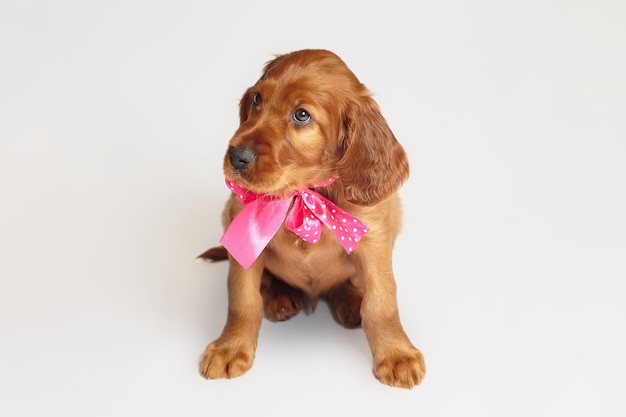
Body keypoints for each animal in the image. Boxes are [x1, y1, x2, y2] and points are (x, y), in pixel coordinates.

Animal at [200, 48, 424, 386]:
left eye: (302, 115)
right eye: (257, 99)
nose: (236, 156)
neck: (302, 193)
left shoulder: (373, 241)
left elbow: (382, 302)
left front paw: (397, 355)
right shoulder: (243, 232)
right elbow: (243, 299)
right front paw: (230, 349)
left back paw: (349, 301)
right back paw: (280, 298)